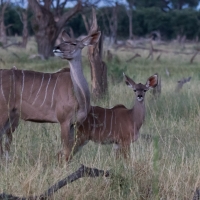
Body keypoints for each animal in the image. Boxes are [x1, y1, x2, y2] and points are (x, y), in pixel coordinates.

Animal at [0, 29, 100, 162]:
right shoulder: (64, 121)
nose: (56, 48)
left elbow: (69, 150)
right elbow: (65, 150)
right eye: (64, 41)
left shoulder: (74, 124)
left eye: (73, 43)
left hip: (11, 116)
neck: (80, 96)